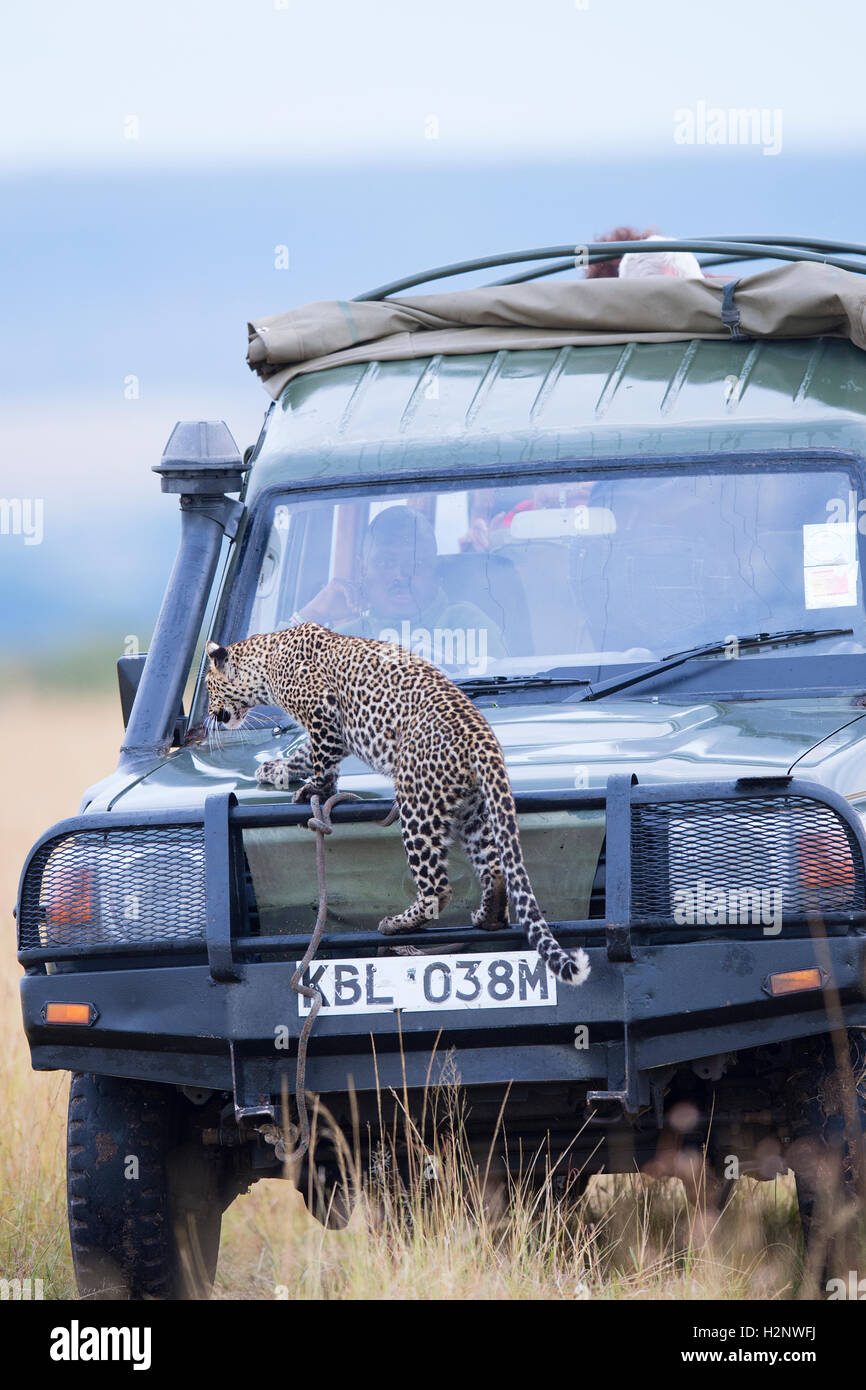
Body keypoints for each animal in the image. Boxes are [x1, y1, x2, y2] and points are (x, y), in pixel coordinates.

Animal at [207, 625, 592, 984]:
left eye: (209, 688)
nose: (211, 715)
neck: (266, 662)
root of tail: (482, 735)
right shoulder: (331, 729)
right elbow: (304, 753)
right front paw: (275, 769)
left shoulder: (323, 712)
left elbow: (322, 760)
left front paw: (315, 788)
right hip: (473, 811)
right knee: (495, 870)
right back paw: (488, 917)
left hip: (418, 805)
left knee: (438, 889)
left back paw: (395, 924)